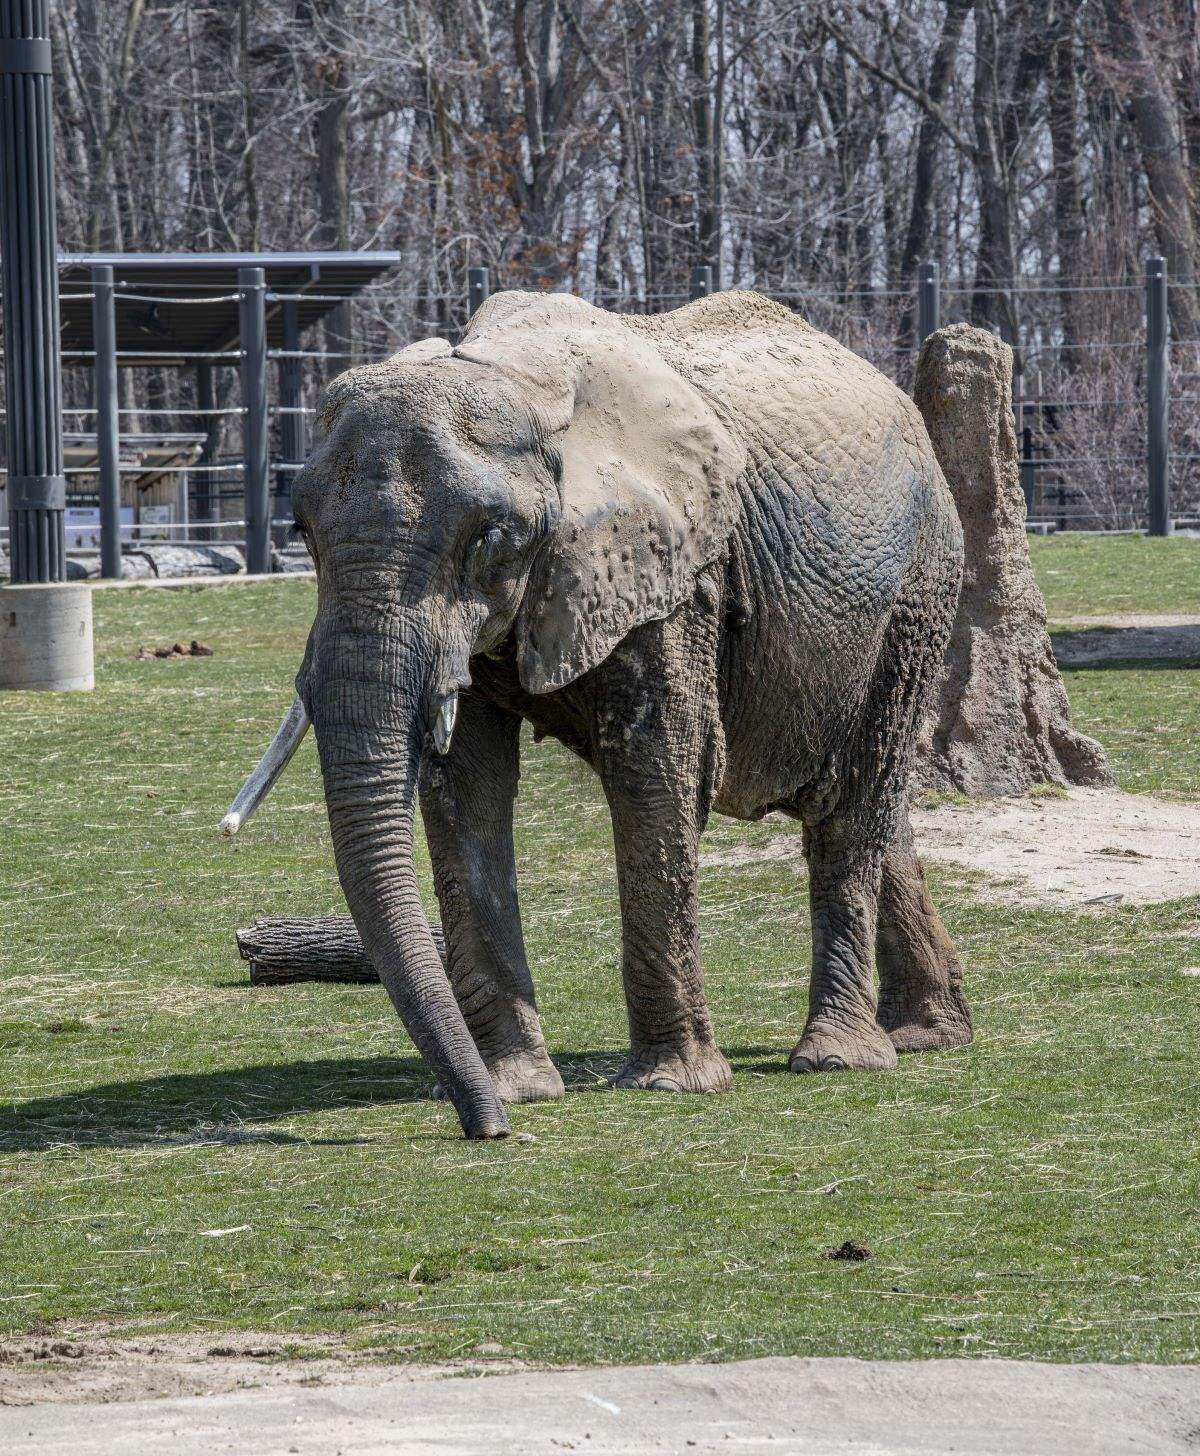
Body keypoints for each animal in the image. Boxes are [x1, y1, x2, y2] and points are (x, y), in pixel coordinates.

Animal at [224, 289, 973, 1139]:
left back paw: (838, 1058)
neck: (513, 379)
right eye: (301, 532)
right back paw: (926, 1034)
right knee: (865, 804)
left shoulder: (674, 572)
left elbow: (660, 769)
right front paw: (517, 1086)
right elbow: (466, 787)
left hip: (917, 590)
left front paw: (671, 1085)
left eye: (488, 536)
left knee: (855, 801)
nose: (488, 1130)